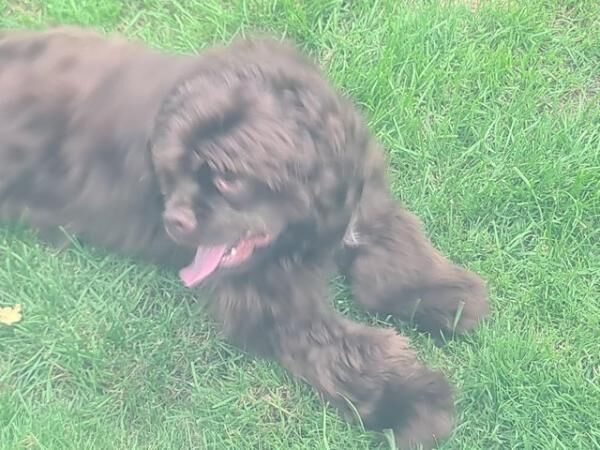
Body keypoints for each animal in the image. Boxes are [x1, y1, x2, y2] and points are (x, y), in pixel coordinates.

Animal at [0, 26, 488, 448]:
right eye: (170, 173)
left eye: (228, 180)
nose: (174, 219)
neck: (303, 229)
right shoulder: (274, 304)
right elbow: (347, 356)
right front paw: (413, 401)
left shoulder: (362, 205)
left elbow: (389, 268)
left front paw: (447, 297)